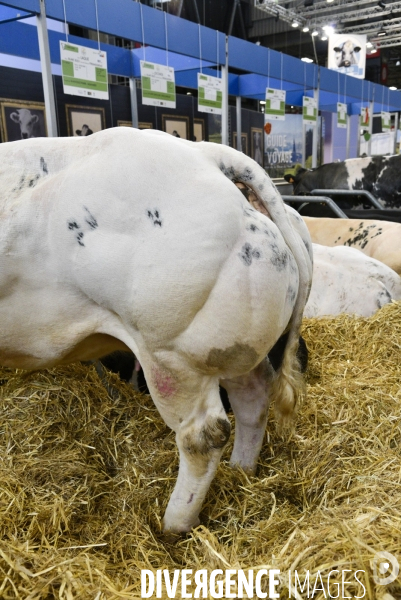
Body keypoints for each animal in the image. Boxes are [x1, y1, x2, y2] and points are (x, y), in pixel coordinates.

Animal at [0, 127, 312, 536]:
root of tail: (208, 155)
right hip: (224, 348)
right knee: (253, 400)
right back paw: (242, 472)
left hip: (169, 353)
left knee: (203, 435)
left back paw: (174, 526)